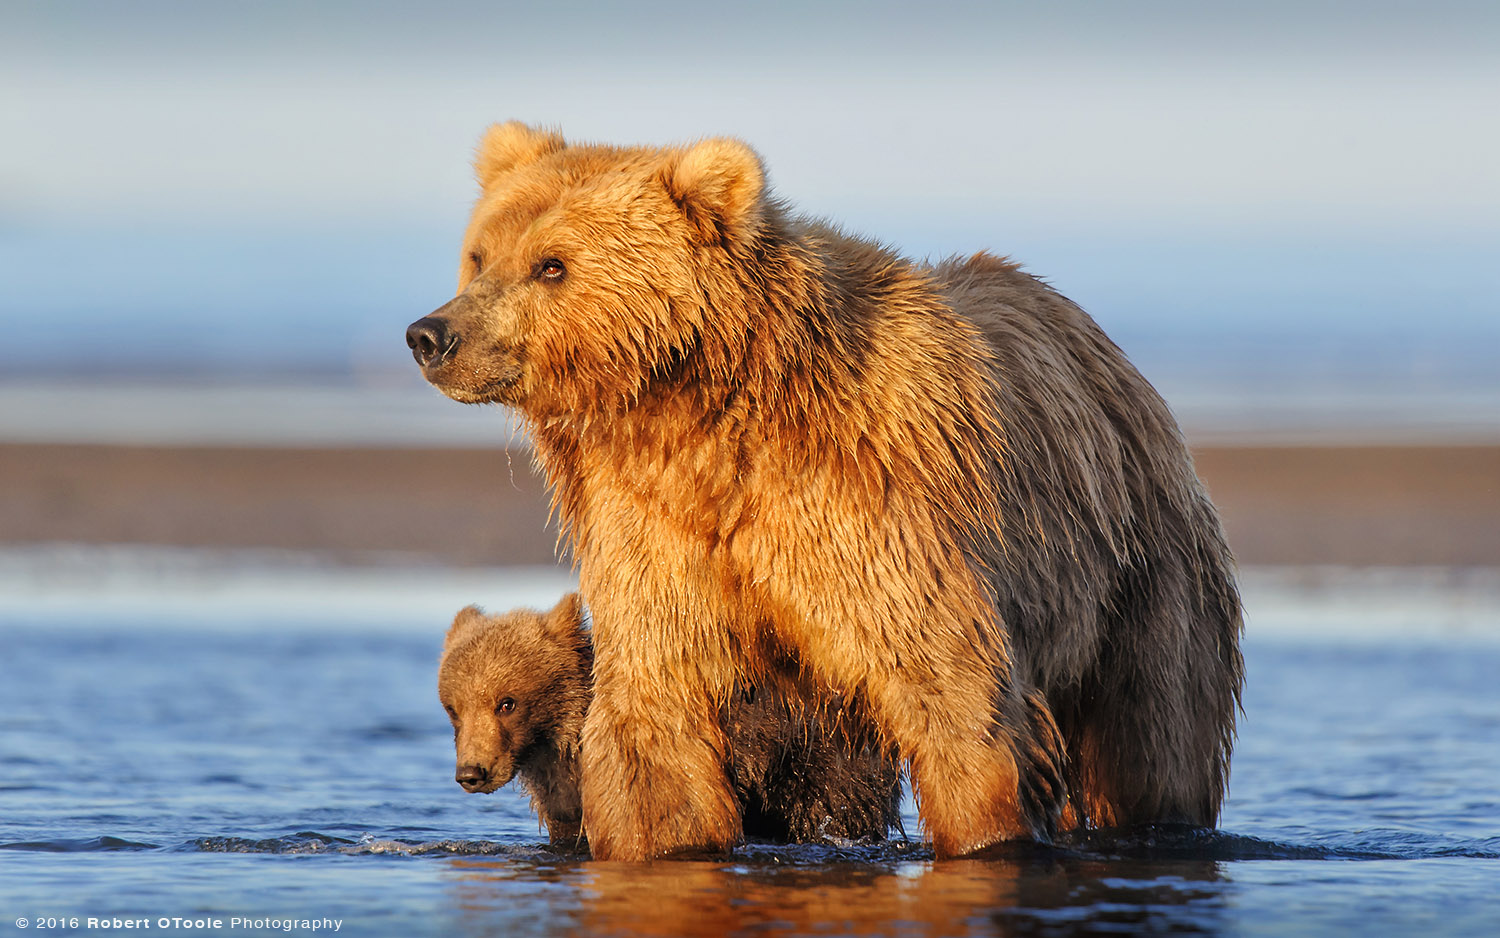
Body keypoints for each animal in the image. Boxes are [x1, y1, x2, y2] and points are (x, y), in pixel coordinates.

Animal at [408, 122, 1242, 858]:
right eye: (479, 254)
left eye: (551, 264)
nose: (431, 335)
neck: (697, 418)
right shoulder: (651, 528)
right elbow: (659, 712)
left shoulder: (869, 508)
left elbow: (949, 688)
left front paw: (987, 836)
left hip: (1136, 569)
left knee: (1152, 733)